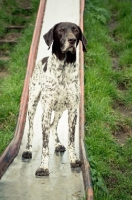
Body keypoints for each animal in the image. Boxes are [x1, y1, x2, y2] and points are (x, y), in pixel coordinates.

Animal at [21, 21, 86, 176]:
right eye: (61, 30)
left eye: (76, 30)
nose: (72, 40)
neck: (63, 69)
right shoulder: (46, 110)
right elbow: (45, 146)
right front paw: (43, 167)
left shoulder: (73, 111)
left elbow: (71, 139)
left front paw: (74, 160)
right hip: (32, 104)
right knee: (31, 130)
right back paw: (28, 150)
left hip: (60, 109)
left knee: (53, 125)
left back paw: (57, 144)